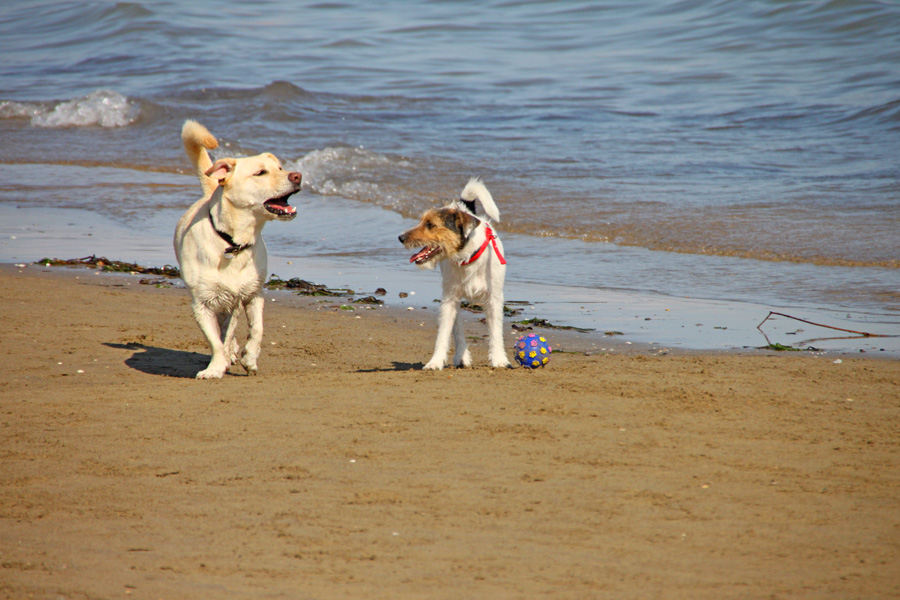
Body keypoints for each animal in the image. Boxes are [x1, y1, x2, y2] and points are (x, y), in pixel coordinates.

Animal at [172, 119, 302, 378]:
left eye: (280, 168)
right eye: (260, 173)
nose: (298, 176)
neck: (234, 243)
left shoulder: (248, 296)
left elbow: (255, 329)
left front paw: (249, 358)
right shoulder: (201, 304)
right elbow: (215, 341)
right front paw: (215, 368)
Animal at [398, 176, 510, 368]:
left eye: (430, 224)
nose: (401, 238)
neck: (467, 259)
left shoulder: (494, 298)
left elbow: (495, 331)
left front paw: (499, 360)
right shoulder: (449, 300)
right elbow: (443, 334)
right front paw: (435, 362)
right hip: (452, 296)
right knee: (457, 329)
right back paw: (461, 356)